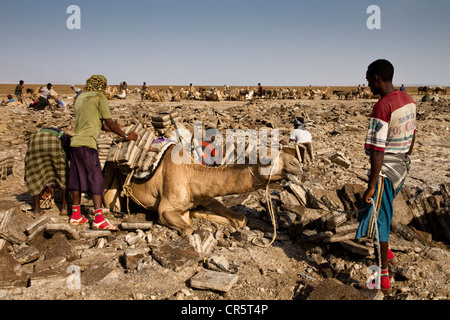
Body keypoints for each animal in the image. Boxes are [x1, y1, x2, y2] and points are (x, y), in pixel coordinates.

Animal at [103, 144, 302, 235]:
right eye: (267, 159)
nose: (297, 164)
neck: (191, 174)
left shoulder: (205, 197)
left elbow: (240, 218)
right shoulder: (165, 209)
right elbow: (189, 228)